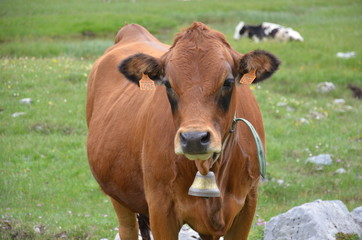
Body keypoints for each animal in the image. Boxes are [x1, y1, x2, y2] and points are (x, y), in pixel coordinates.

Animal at [85, 21, 280, 239]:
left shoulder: (247, 205)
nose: (194, 138)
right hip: (117, 195)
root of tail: (132, 30)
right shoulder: (161, 209)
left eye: (228, 82)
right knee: (128, 229)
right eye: (167, 84)